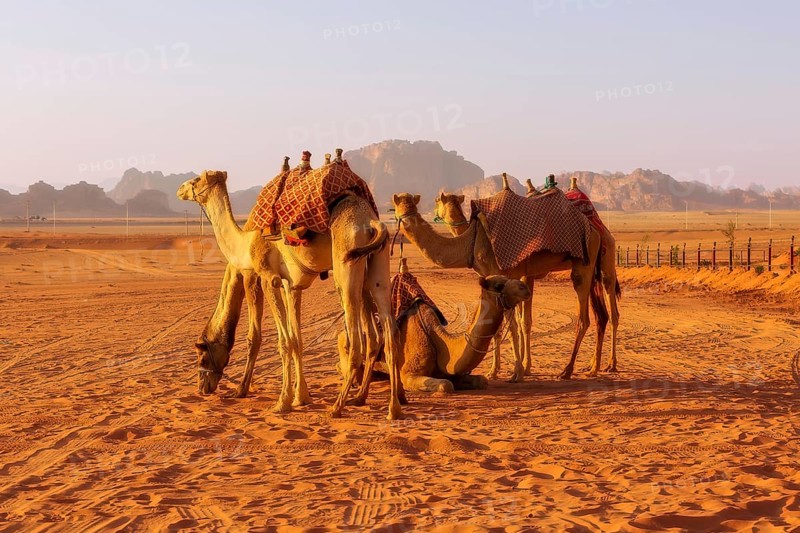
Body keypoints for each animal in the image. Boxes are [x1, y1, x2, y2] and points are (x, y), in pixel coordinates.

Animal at [177, 164, 403, 420]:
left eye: (202, 353)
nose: (203, 387)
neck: (246, 241)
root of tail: (371, 222)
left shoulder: (266, 278)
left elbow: (276, 341)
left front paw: (276, 401)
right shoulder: (291, 285)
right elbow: (296, 339)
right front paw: (301, 397)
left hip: (346, 266)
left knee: (357, 340)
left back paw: (337, 407)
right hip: (377, 267)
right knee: (388, 333)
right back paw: (389, 407)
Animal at [342, 259, 531, 394]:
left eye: (507, 278)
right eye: (499, 285)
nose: (525, 288)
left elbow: (481, 381)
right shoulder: (408, 374)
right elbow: (445, 385)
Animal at [393, 192, 606, 382]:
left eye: (438, 200)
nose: (400, 215)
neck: (470, 241)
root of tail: (594, 230)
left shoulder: (503, 275)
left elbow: (512, 326)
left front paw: (517, 373)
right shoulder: (493, 277)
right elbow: (502, 327)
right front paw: (494, 371)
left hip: (583, 264)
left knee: (584, 318)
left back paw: (568, 371)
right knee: (601, 315)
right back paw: (593, 367)